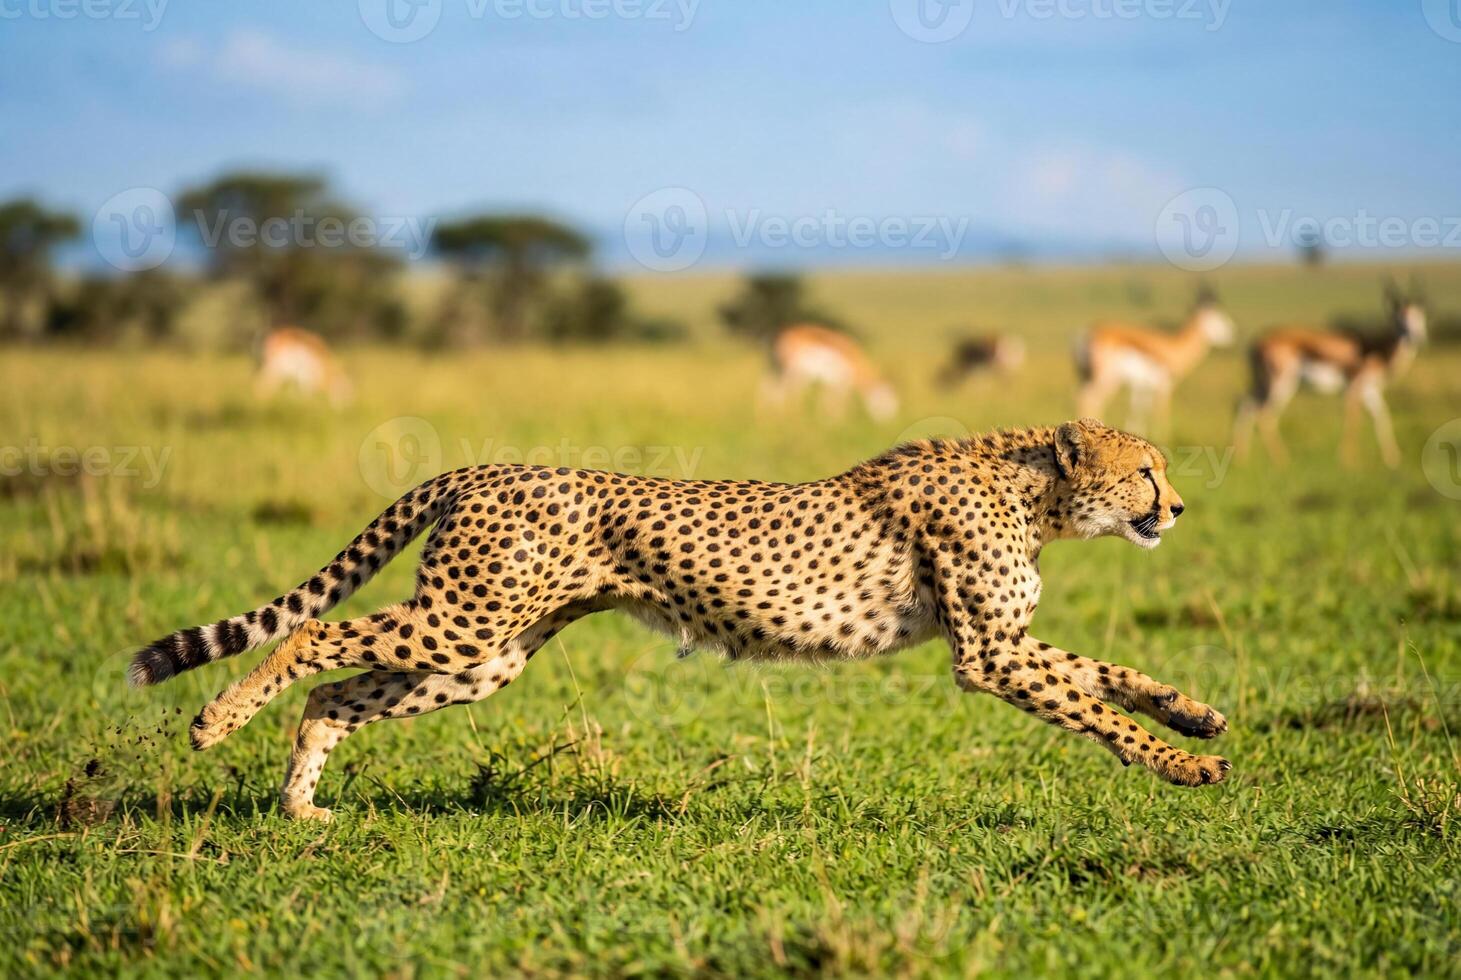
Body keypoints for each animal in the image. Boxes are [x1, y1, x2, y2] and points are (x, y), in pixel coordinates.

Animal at [129, 417, 1230, 821]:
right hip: (462, 619)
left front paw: (1196, 717)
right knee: (312, 636)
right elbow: (1096, 706)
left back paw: (300, 805)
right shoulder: (990, 655)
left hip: (484, 654)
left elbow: (1106, 676)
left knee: (334, 693)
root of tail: (487, 464)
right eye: (1146, 470)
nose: (1178, 508)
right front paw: (1184, 766)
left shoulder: (1005, 643)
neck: (1034, 488)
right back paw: (215, 721)